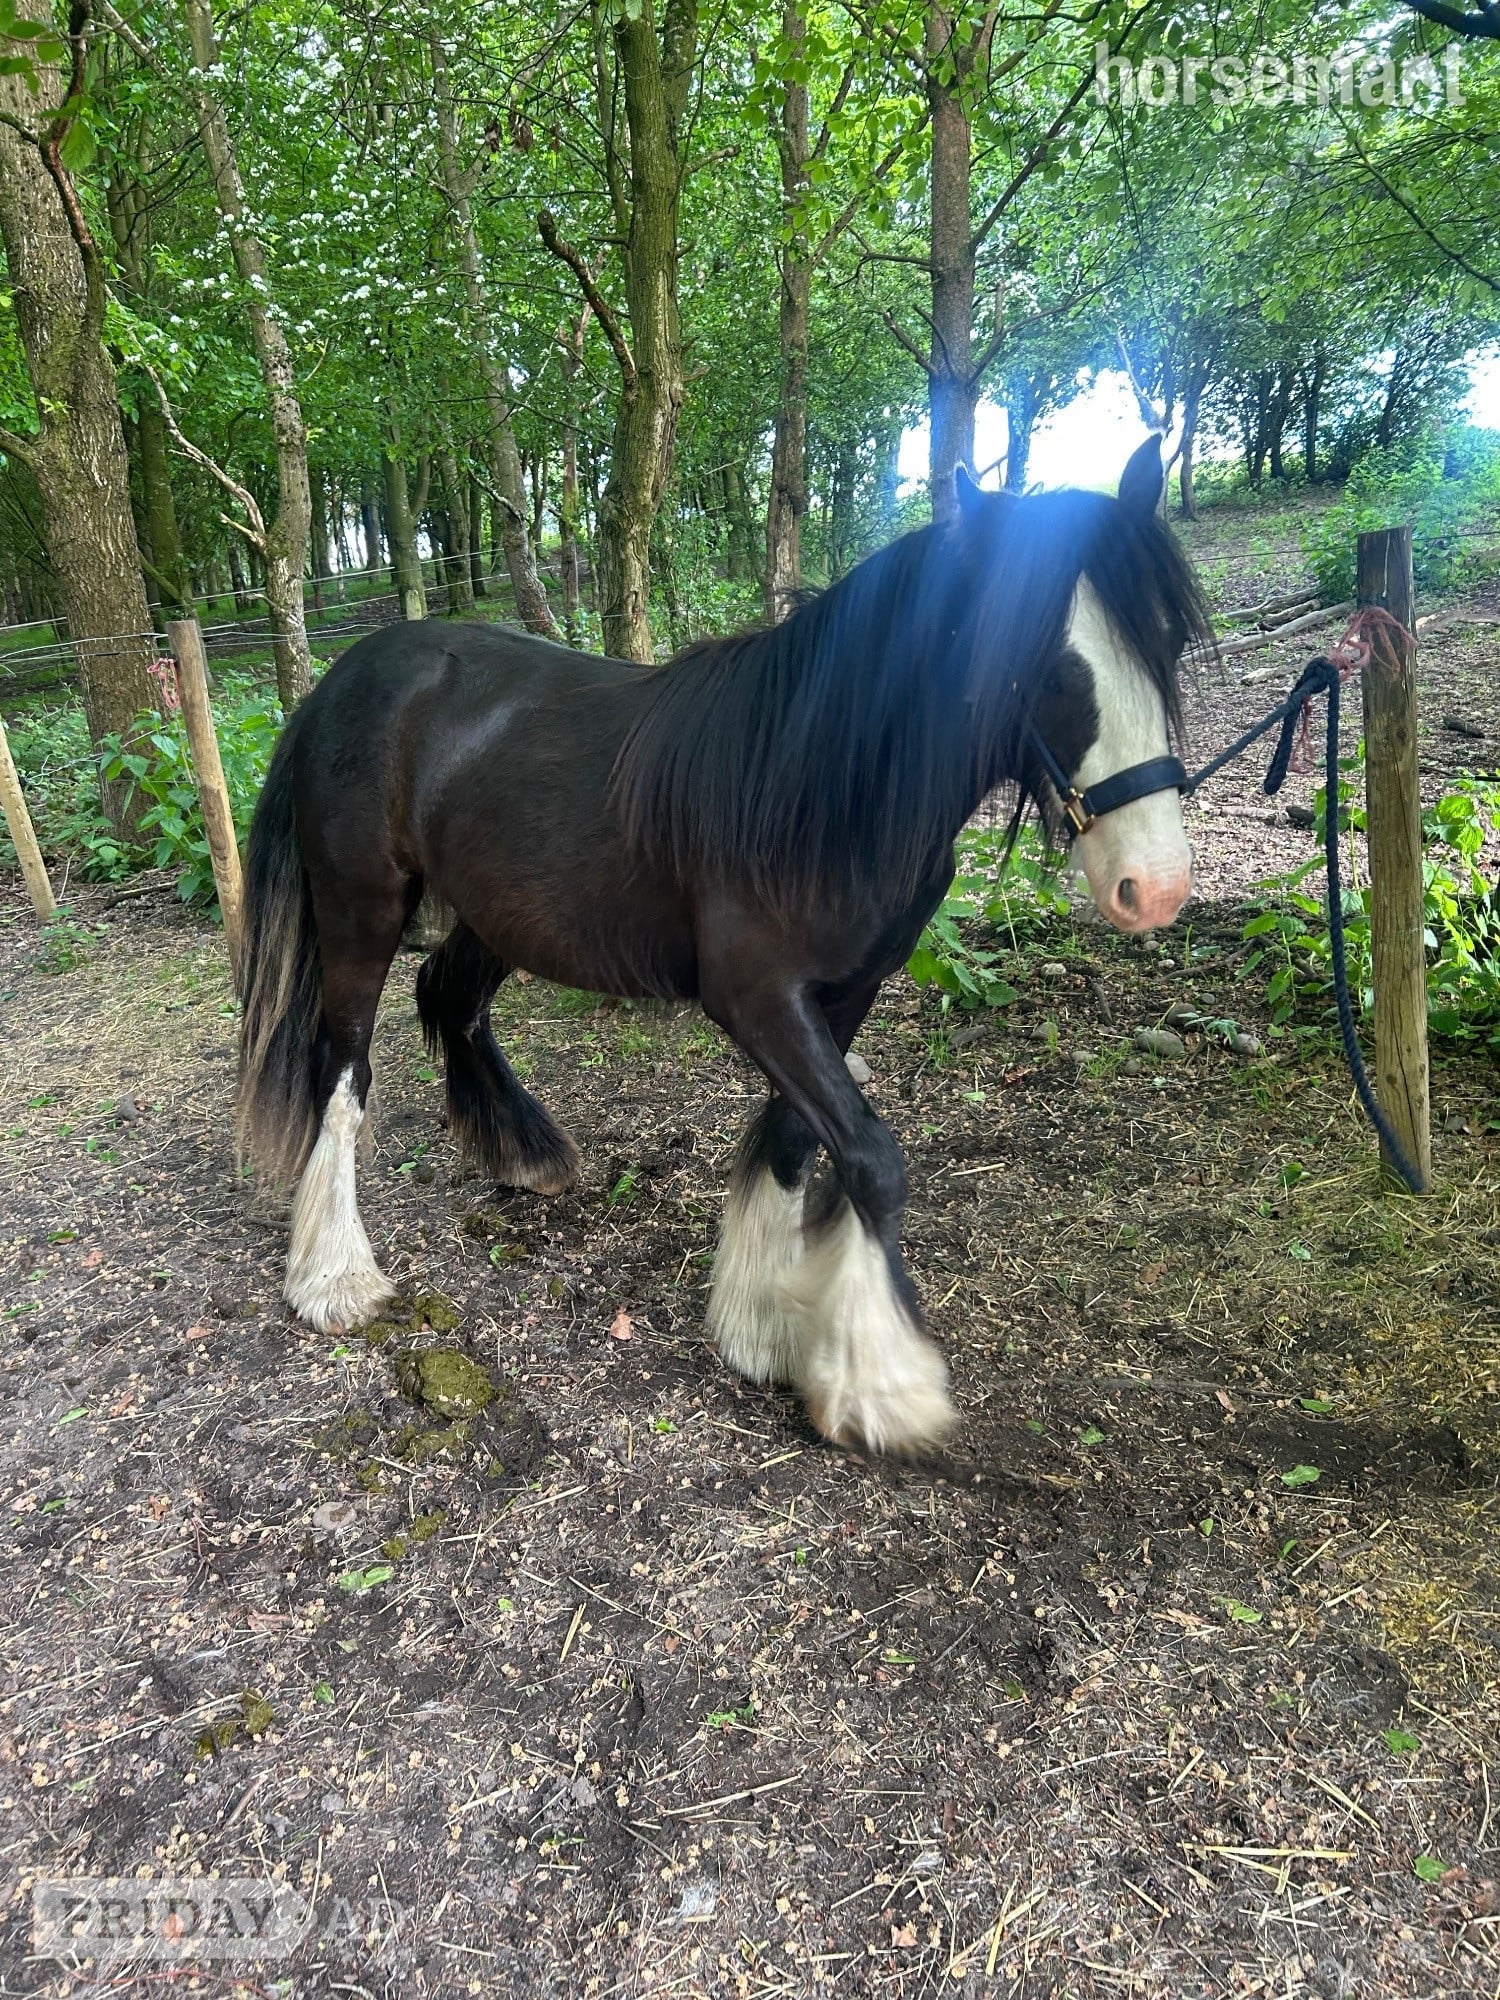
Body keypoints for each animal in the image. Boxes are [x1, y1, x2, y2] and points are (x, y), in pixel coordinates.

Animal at [236, 438, 1209, 1456]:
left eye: (1166, 643)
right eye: (1051, 668)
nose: (1156, 887)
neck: (824, 780)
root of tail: (346, 675)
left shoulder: (845, 991)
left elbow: (797, 1139)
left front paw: (760, 1326)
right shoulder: (755, 996)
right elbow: (872, 1156)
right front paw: (880, 1384)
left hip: (505, 912)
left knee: (449, 996)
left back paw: (522, 1154)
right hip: (361, 907)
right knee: (344, 1067)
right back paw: (335, 1276)